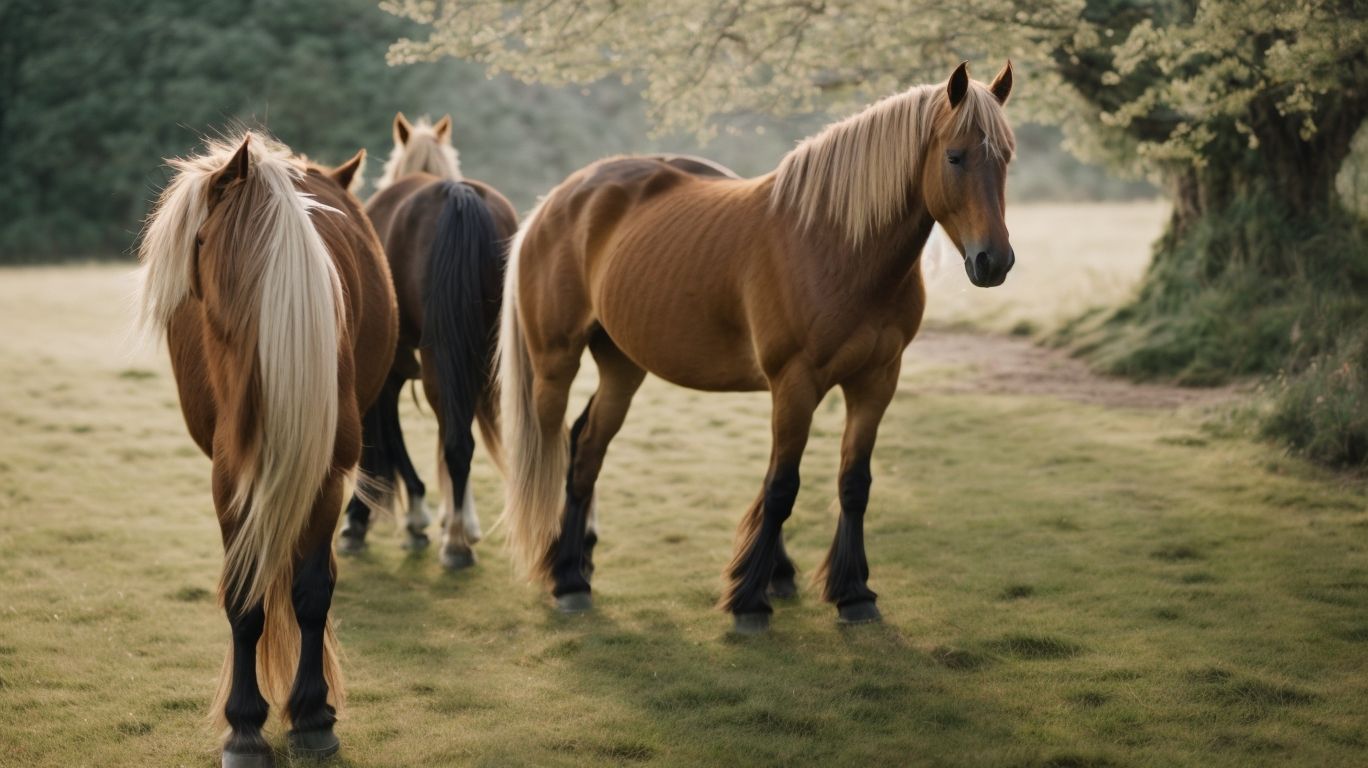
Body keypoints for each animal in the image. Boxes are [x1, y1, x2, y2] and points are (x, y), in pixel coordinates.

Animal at [137, 132, 397, 765]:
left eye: (196, 237)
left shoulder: (326, 477)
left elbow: (311, 591)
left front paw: (312, 714)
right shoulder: (229, 480)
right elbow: (243, 594)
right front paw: (245, 726)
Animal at [337, 113, 518, 571]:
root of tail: (458, 196)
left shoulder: (387, 370)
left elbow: (384, 438)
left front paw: (370, 519)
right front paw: (460, 519)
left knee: (457, 442)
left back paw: (454, 547)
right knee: (461, 436)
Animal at [498, 61, 1016, 633]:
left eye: (1006, 157)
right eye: (955, 156)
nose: (994, 262)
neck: (836, 244)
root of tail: (557, 201)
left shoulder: (877, 380)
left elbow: (854, 483)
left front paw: (852, 593)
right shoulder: (795, 384)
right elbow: (781, 487)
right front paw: (750, 600)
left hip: (623, 366)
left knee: (588, 448)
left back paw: (575, 570)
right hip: (555, 363)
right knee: (554, 451)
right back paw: (564, 576)